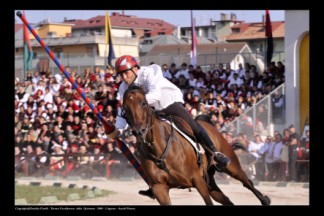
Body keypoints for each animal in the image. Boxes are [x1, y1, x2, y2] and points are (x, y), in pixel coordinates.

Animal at [121, 85, 270, 206]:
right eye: (125, 109)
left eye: (143, 103)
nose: (139, 132)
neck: (159, 150)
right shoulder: (159, 189)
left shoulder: (198, 180)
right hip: (210, 181)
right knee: (226, 200)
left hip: (231, 166)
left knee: (247, 182)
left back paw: (265, 199)